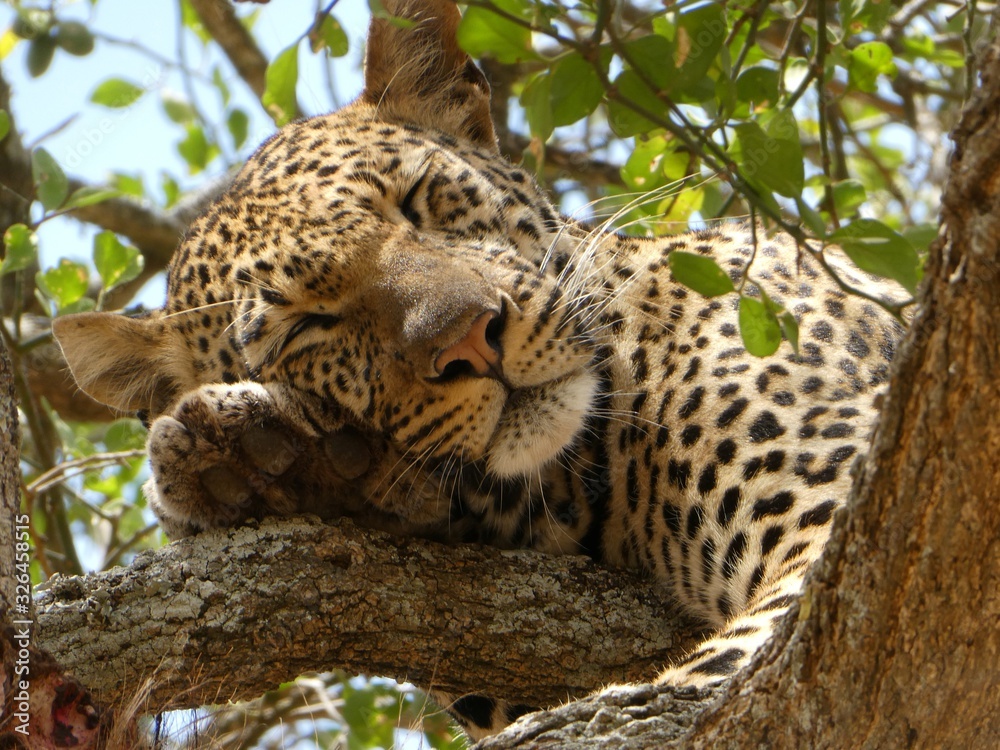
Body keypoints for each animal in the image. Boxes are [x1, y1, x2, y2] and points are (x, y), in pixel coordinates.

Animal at [53, 0, 905, 740]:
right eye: (306, 325)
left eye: (418, 199)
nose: (471, 338)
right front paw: (259, 464)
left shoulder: (836, 511)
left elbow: (699, 686)